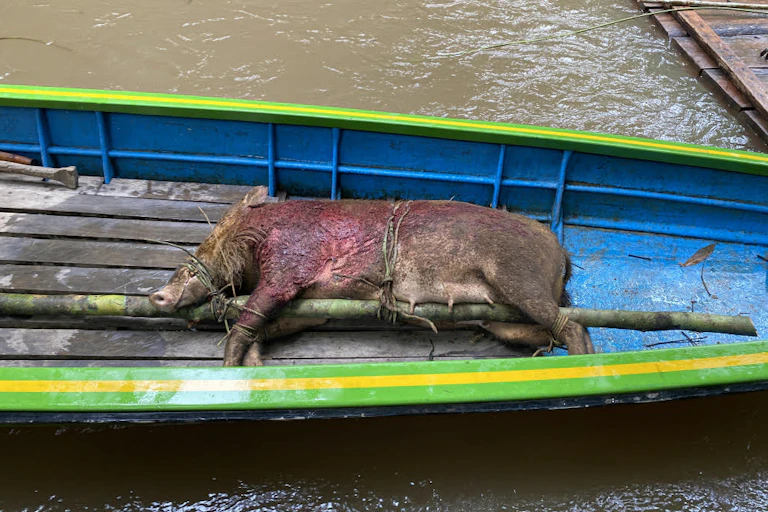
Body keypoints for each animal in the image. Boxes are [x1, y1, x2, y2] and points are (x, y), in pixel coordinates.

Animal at [149, 186, 594, 366]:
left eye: (194, 257)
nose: (157, 295)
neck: (258, 236)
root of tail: (562, 252)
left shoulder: (289, 266)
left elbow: (249, 316)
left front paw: (228, 367)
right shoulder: (314, 306)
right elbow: (264, 327)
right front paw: (254, 367)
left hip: (518, 277)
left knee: (571, 326)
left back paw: (584, 367)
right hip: (499, 317)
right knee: (553, 331)